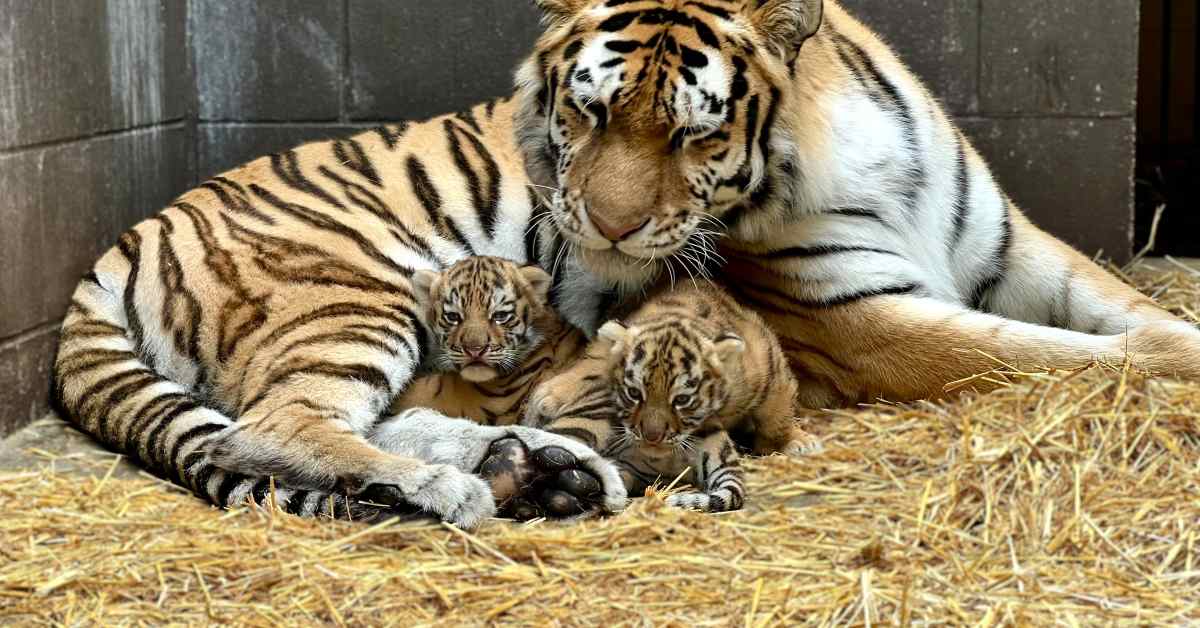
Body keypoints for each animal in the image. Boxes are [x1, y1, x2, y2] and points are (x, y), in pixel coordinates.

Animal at [51, 1, 1195, 525]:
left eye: (692, 133)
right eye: (587, 113)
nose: (597, 227)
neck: (847, 148)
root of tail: (114, 249)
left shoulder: (1015, 249)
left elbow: (1138, 319)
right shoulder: (863, 317)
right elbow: (1059, 358)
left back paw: (544, 471)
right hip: (357, 294)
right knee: (277, 424)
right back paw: (461, 488)